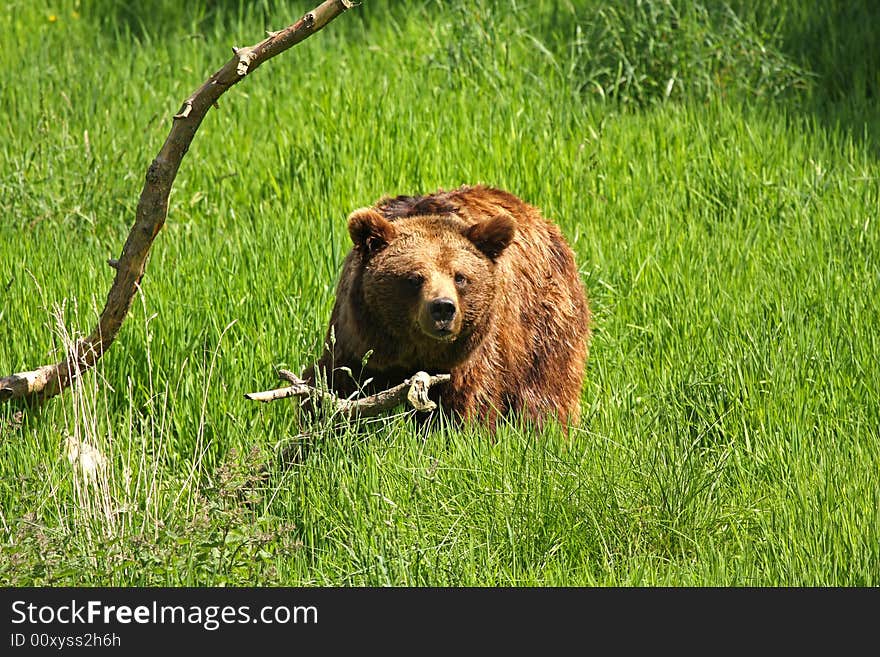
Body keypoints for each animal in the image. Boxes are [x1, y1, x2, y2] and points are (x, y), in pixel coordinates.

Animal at [304, 184, 592, 426]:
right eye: (414, 277)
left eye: (460, 277)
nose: (443, 307)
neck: (411, 352)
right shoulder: (356, 344)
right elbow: (331, 388)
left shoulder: (467, 362)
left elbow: (465, 408)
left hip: (543, 329)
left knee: (545, 393)